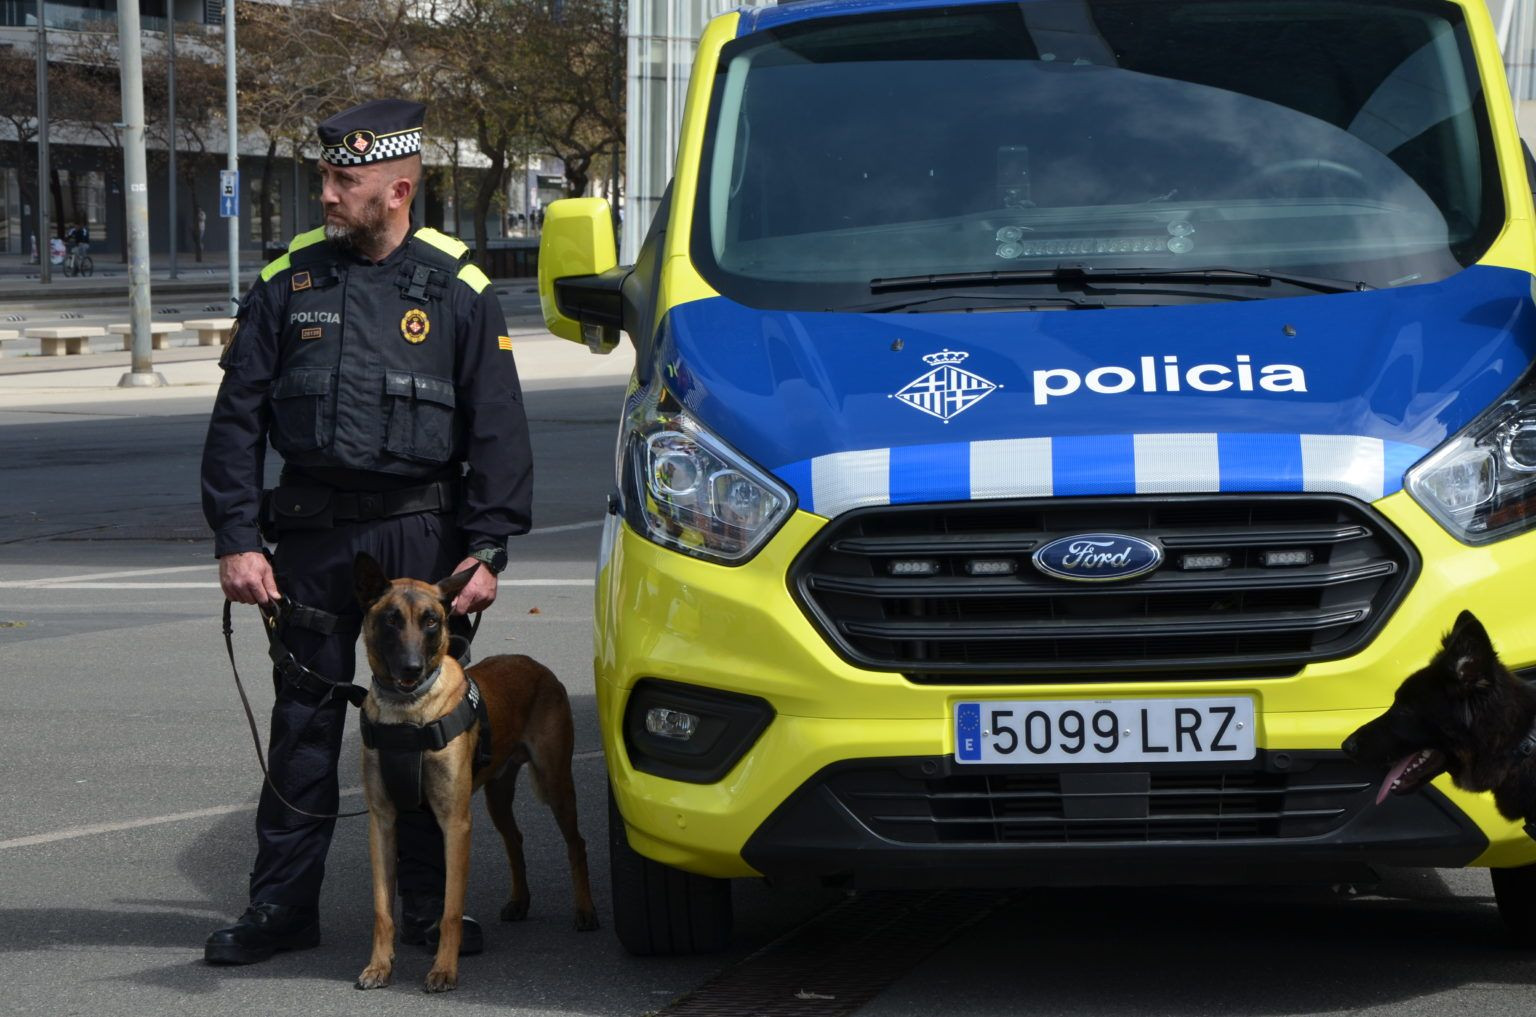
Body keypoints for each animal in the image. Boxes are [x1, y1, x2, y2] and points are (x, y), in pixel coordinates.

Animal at [354, 559, 599, 995]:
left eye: (431, 620)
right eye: (391, 620)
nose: (412, 668)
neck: (407, 714)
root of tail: (534, 663)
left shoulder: (455, 823)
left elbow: (451, 910)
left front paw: (443, 970)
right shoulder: (382, 822)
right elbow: (382, 909)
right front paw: (379, 966)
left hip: (556, 784)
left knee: (577, 843)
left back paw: (585, 910)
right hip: (498, 796)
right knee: (515, 841)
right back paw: (520, 901)